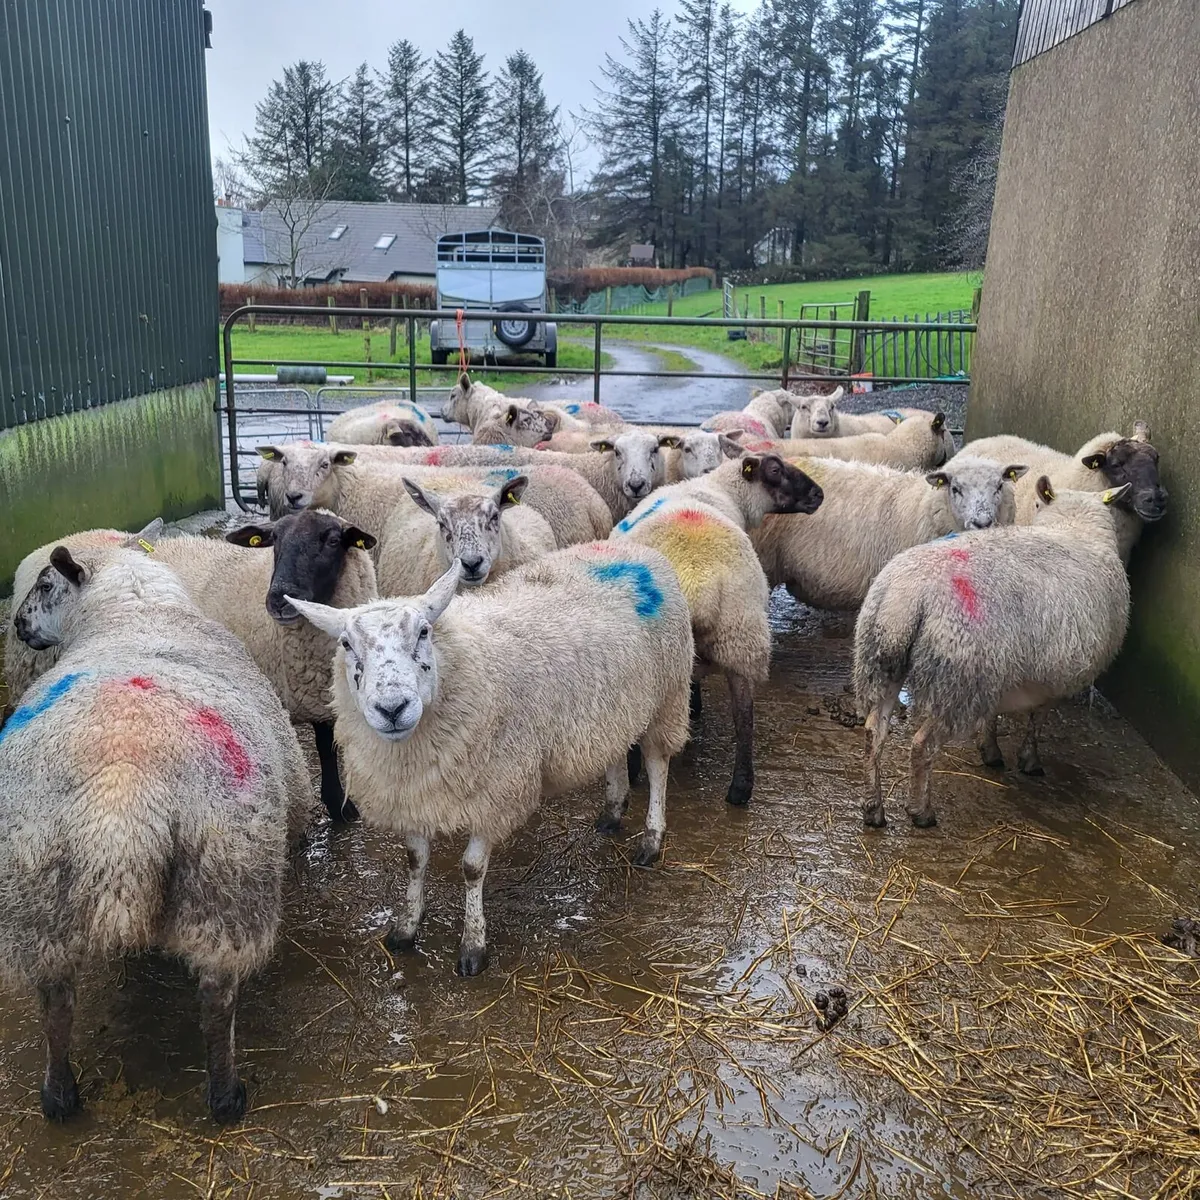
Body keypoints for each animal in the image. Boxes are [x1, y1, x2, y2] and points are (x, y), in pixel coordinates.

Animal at [2, 543, 310, 1123]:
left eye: (46, 585)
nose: (18, 626)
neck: (133, 611)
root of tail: (122, 797)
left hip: (39, 898)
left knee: (55, 1003)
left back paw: (59, 1095)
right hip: (226, 884)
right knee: (215, 1002)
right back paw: (225, 1094)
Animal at [287, 543, 694, 976]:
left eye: (424, 632)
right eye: (346, 644)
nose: (393, 708)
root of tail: (633, 547)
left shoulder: (495, 790)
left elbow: (472, 868)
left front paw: (473, 945)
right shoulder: (412, 796)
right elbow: (415, 860)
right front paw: (406, 928)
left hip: (668, 694)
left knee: (657, 764)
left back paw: (651, 840)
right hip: (616, 706)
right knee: (616, 751)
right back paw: (612, 813)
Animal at [613, 454, 824, 805]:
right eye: (775, 470)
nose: (819, 495)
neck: (717, 487)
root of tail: (701, 581)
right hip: (742, 636)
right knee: (744, 719)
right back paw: (740, 789)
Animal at [854, 478, 1132, 829]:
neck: (1073, 526)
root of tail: (909, 596)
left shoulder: (999, 672)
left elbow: (992, 716)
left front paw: (990, 751)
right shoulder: (1054, 678)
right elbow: (1037, 719)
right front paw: (1030, 761)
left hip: (883, 659)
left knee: (873, 733)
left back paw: (873, 808)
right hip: (957, 676)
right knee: (922, 746)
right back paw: (921, 812)